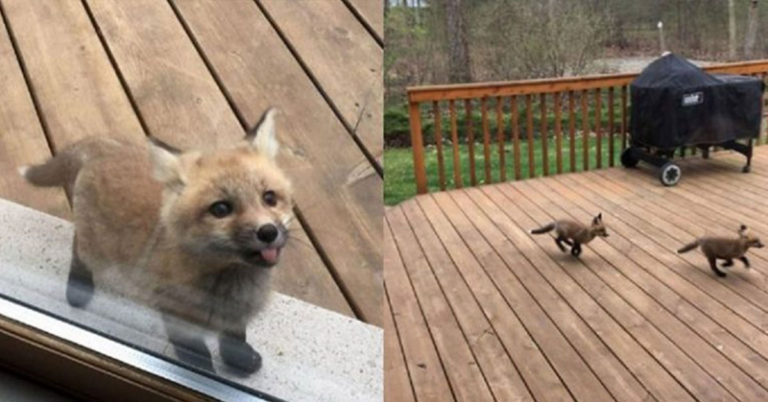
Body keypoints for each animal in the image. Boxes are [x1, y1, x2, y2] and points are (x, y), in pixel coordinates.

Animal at [19, 108, 292, 374]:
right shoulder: (176, 316)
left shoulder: (236, 316)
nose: (268, 232)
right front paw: (201, 372)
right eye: (221, 209)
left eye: (269, 198)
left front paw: (239, 360)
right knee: (78, 249)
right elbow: (198, 356)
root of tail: (106, 147)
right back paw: (78, 287)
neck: (229, 285)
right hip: (96, 249)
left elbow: (234, 339)